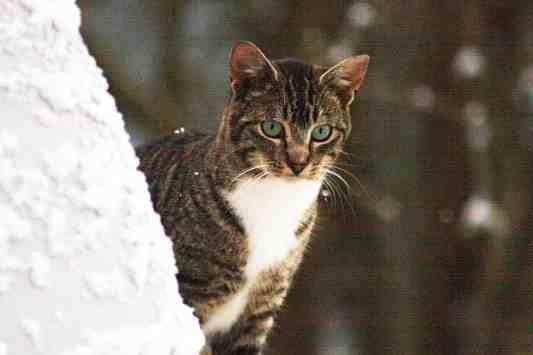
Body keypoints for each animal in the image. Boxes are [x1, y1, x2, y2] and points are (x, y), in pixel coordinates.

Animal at [136, 42, 370, 355]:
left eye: (322, 132)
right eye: (271, 128)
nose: (298, 162)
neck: (275, 200)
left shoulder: (260, 308)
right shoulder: (190, 291)